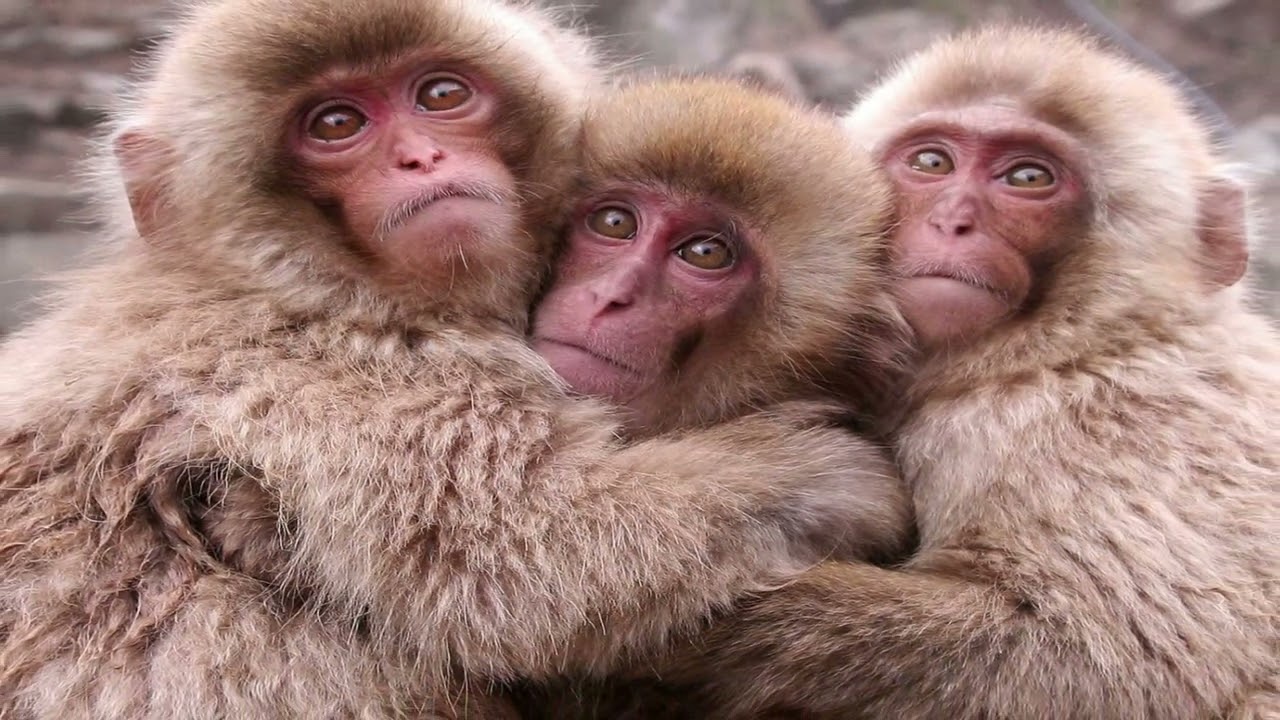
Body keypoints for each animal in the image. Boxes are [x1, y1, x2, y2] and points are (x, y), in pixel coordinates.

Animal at [0, 0, 915, 716]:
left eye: (440, 94)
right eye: (336, 124)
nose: (422, 158)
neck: (302, 283)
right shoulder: (328, 369)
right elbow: (519, 550)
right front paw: (825, 472)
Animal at [517, 25, 1280, 720]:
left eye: (1028, 178)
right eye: (932, 162)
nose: (952, 222)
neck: (1063, 346)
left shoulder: (1076, 425)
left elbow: (1106, 661)